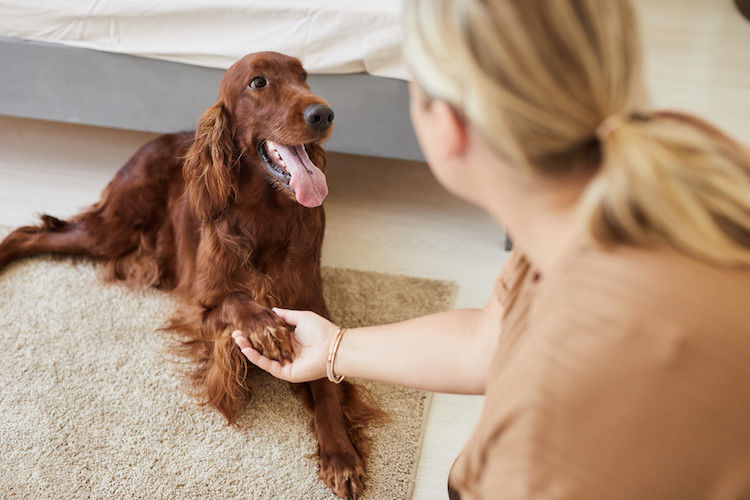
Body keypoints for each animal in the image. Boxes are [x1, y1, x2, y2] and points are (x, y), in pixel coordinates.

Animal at [0, 51, 384, 500]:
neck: (266, 214)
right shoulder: (198, 309)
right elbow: (236, 301)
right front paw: (264, 327)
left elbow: (325, 381)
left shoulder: (313, 307)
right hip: (115, 228)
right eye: (258, 82)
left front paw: (340, 455)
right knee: (27, 234)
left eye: (304, 76)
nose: (322, 113)